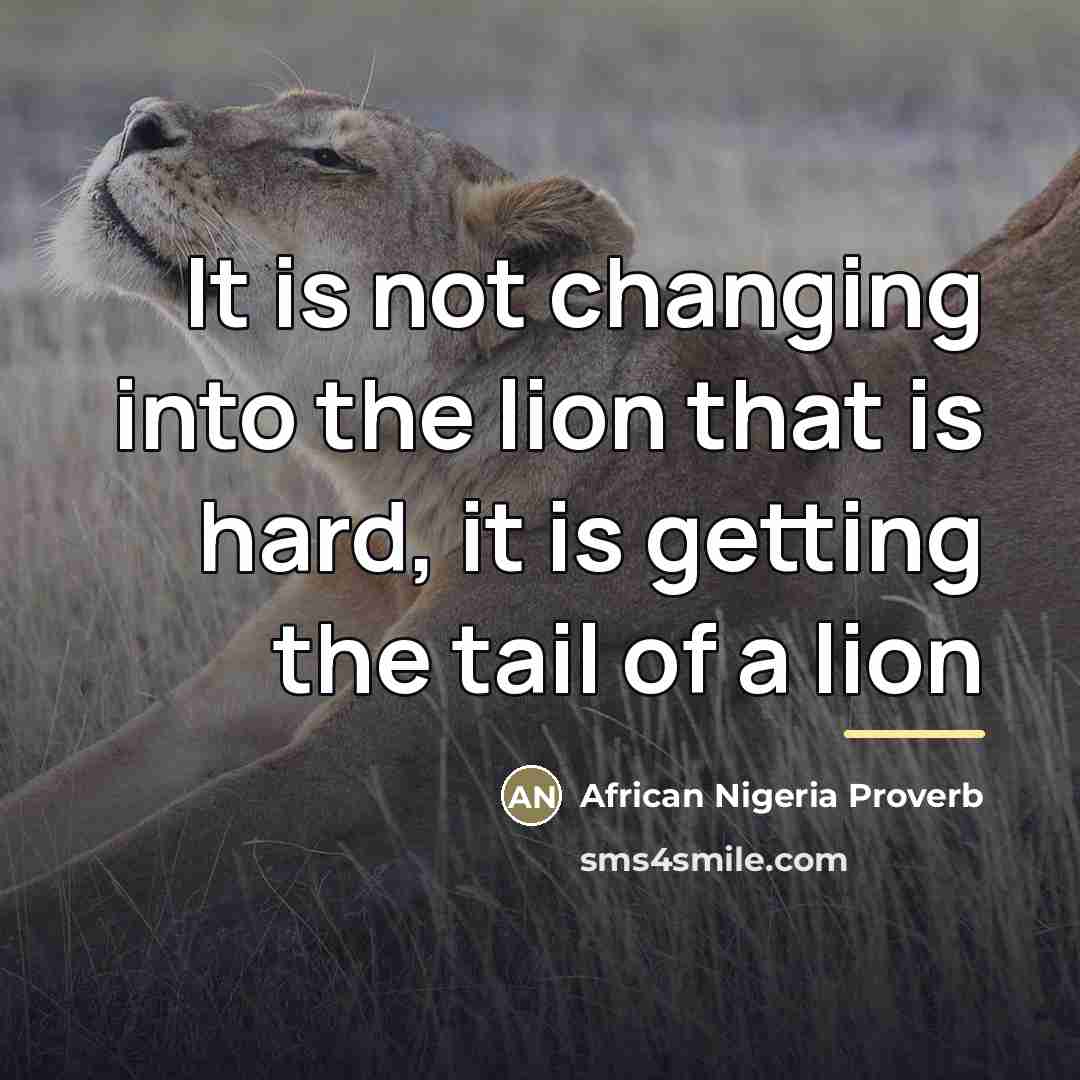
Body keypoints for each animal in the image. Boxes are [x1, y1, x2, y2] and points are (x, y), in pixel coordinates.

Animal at [2, 89, 1079, 934]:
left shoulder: (367, 777)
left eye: (330, 158)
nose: (139, 121)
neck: (409, 490)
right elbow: (60, 804)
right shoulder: (209, 717)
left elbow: (98, 886)